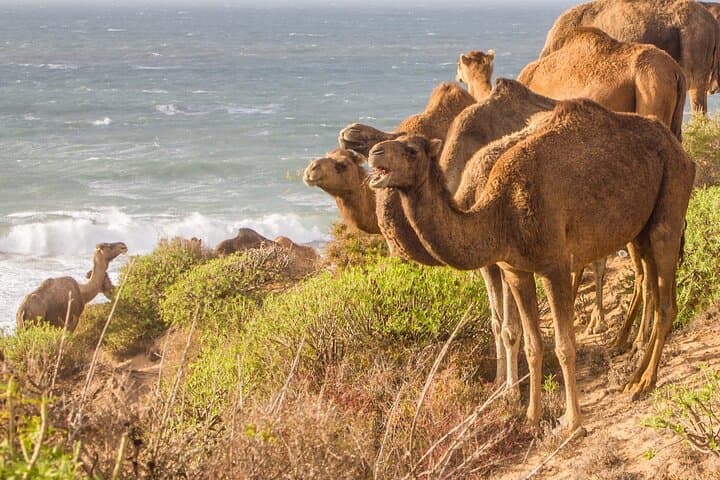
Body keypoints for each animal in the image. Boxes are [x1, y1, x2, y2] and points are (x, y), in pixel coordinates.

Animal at [367, 99, 695, 432]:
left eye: (412, 150)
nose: (374, 153)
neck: (500, 213)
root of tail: (678, 147)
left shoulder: (554, 267)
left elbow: (563, 345)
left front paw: (571, 421)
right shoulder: (515, 270)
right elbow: (531, 344)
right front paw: (531, 416)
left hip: (670, 201)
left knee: (666, 302)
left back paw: (645, 382)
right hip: (640, 228)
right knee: (653, 287)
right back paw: (634, 376)